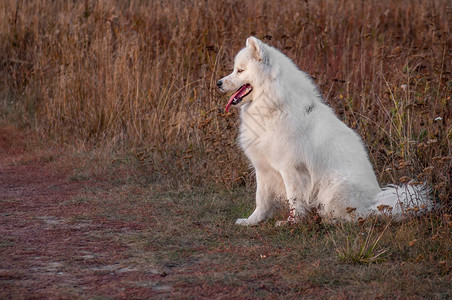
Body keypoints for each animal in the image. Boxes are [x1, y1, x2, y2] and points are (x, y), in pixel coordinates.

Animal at [217, 37, 430, 225]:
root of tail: (373, 204)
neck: (274, 106)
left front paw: (292, 223)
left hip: (335, 185)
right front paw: (251, 221)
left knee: (356, 217)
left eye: (240, 70)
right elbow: (261, 200)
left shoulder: (291, 168)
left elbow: (294, 199)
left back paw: (329, 219)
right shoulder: (264, 168)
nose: (218, 83)